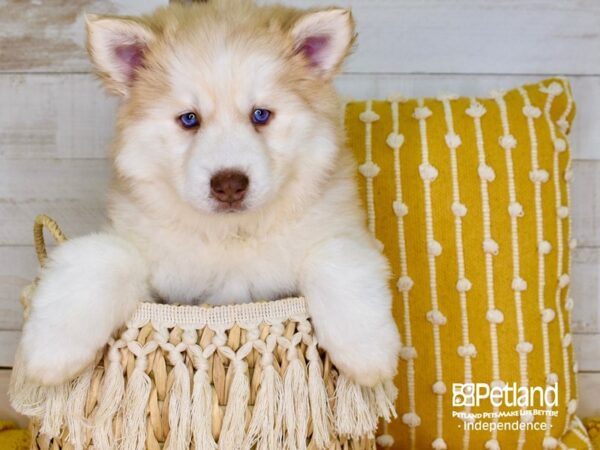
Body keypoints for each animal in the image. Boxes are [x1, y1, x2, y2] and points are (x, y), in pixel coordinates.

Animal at [21, 0, 400, 386]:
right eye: (189, 119)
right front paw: (50, 352)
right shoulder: (144, 255)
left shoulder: (344, 230)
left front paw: (368, 355)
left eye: (260, 115)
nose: (229, 184)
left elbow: (338, 260)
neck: (229, 235)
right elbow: (99, 256)